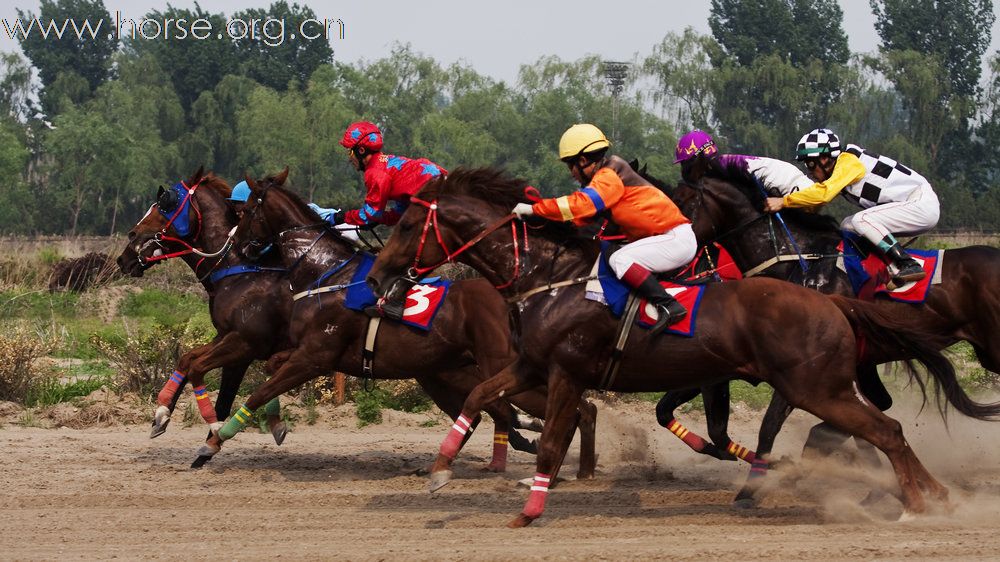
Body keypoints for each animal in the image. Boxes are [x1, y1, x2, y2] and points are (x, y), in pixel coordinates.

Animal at [117, 167, 572, 468]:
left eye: (165, 205)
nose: (125, 253)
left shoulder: (248, 341)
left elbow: (203, 368)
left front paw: (188, 426)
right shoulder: (242, 342)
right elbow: (201, 368)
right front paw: (184, 423)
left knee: (503, 405)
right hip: (439, 370)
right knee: (489, 407)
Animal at [366, 166, 1000, 524]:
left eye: (406, 227)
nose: (377, 278)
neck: (551, 275)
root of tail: (830, 302)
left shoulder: (567, 371)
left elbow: (550, 443)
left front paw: (529, 511)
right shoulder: (530, 365)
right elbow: (478, 397)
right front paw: (441, 470)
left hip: (815, 385)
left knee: (884, 430)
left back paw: (917, 503)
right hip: (823, 384)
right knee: (882, 429)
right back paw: (928, 495)